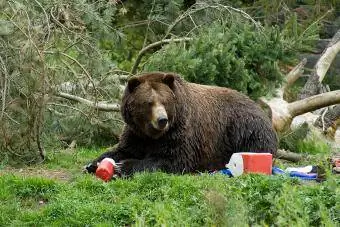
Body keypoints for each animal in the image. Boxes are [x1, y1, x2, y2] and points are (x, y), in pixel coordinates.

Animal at [84, 72, 276, 176]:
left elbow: (173, 159)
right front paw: (92, 164)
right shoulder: (136, 133)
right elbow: (122, 148)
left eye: (165, 101)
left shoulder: (181, 131)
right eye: (148, 102)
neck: (152, 134)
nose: (162, 120)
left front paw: (123, 166)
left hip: (245, 129)